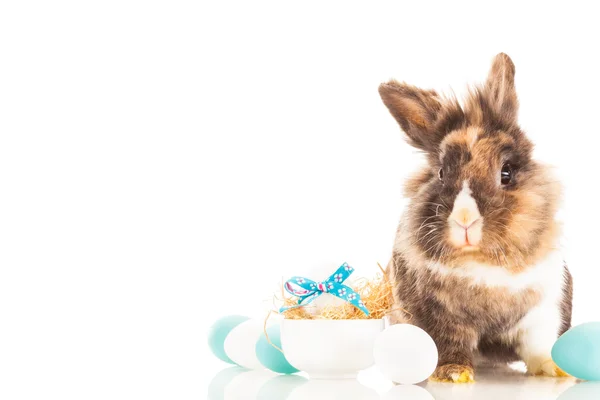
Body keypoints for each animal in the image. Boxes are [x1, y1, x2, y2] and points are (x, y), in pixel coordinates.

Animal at [380, 52, 572, 382]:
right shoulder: (436, 316)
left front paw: (556, 369)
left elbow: (538, 344)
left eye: (506, 172)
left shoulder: (543, 309)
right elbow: (449, 343)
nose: (466, 220)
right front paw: (454, 374)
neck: (482, 263)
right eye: (441, 173)